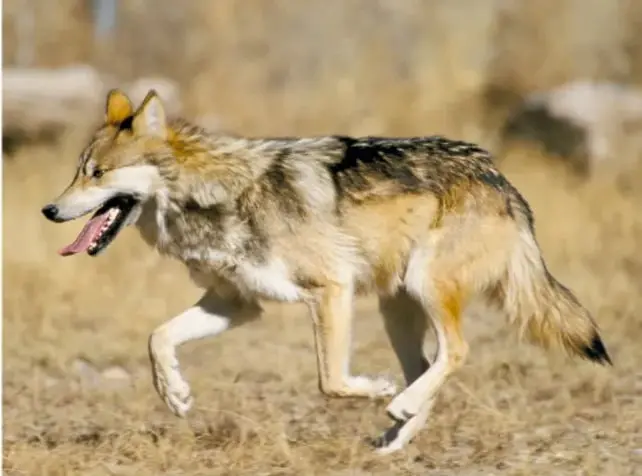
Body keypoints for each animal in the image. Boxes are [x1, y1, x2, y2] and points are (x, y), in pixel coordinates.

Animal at [41, 89, 611, 454]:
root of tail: (498, 176)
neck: (215, 194)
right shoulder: (237, 303)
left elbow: (331, 381)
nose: (49, 210)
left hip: (423, 288)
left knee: (455, 353)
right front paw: (175, 394)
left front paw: (375, 389)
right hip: (396, 308)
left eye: (97, 173)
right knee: (428, 366)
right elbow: (158, 337)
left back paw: (397, 405)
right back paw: (394, 438)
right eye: (77, 172)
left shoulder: (330, 290)